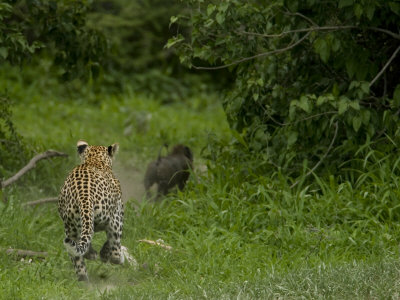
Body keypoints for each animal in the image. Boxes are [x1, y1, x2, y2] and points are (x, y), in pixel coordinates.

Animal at [57, 141, 124, 282]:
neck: (94, 160)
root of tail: (84, 196)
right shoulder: (118, 213)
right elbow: (111, 241)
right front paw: (104, 254)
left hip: (70, 226)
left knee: (77, 253)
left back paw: (85, 274)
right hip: (112, 218)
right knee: (114, 248)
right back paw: (115, 258)